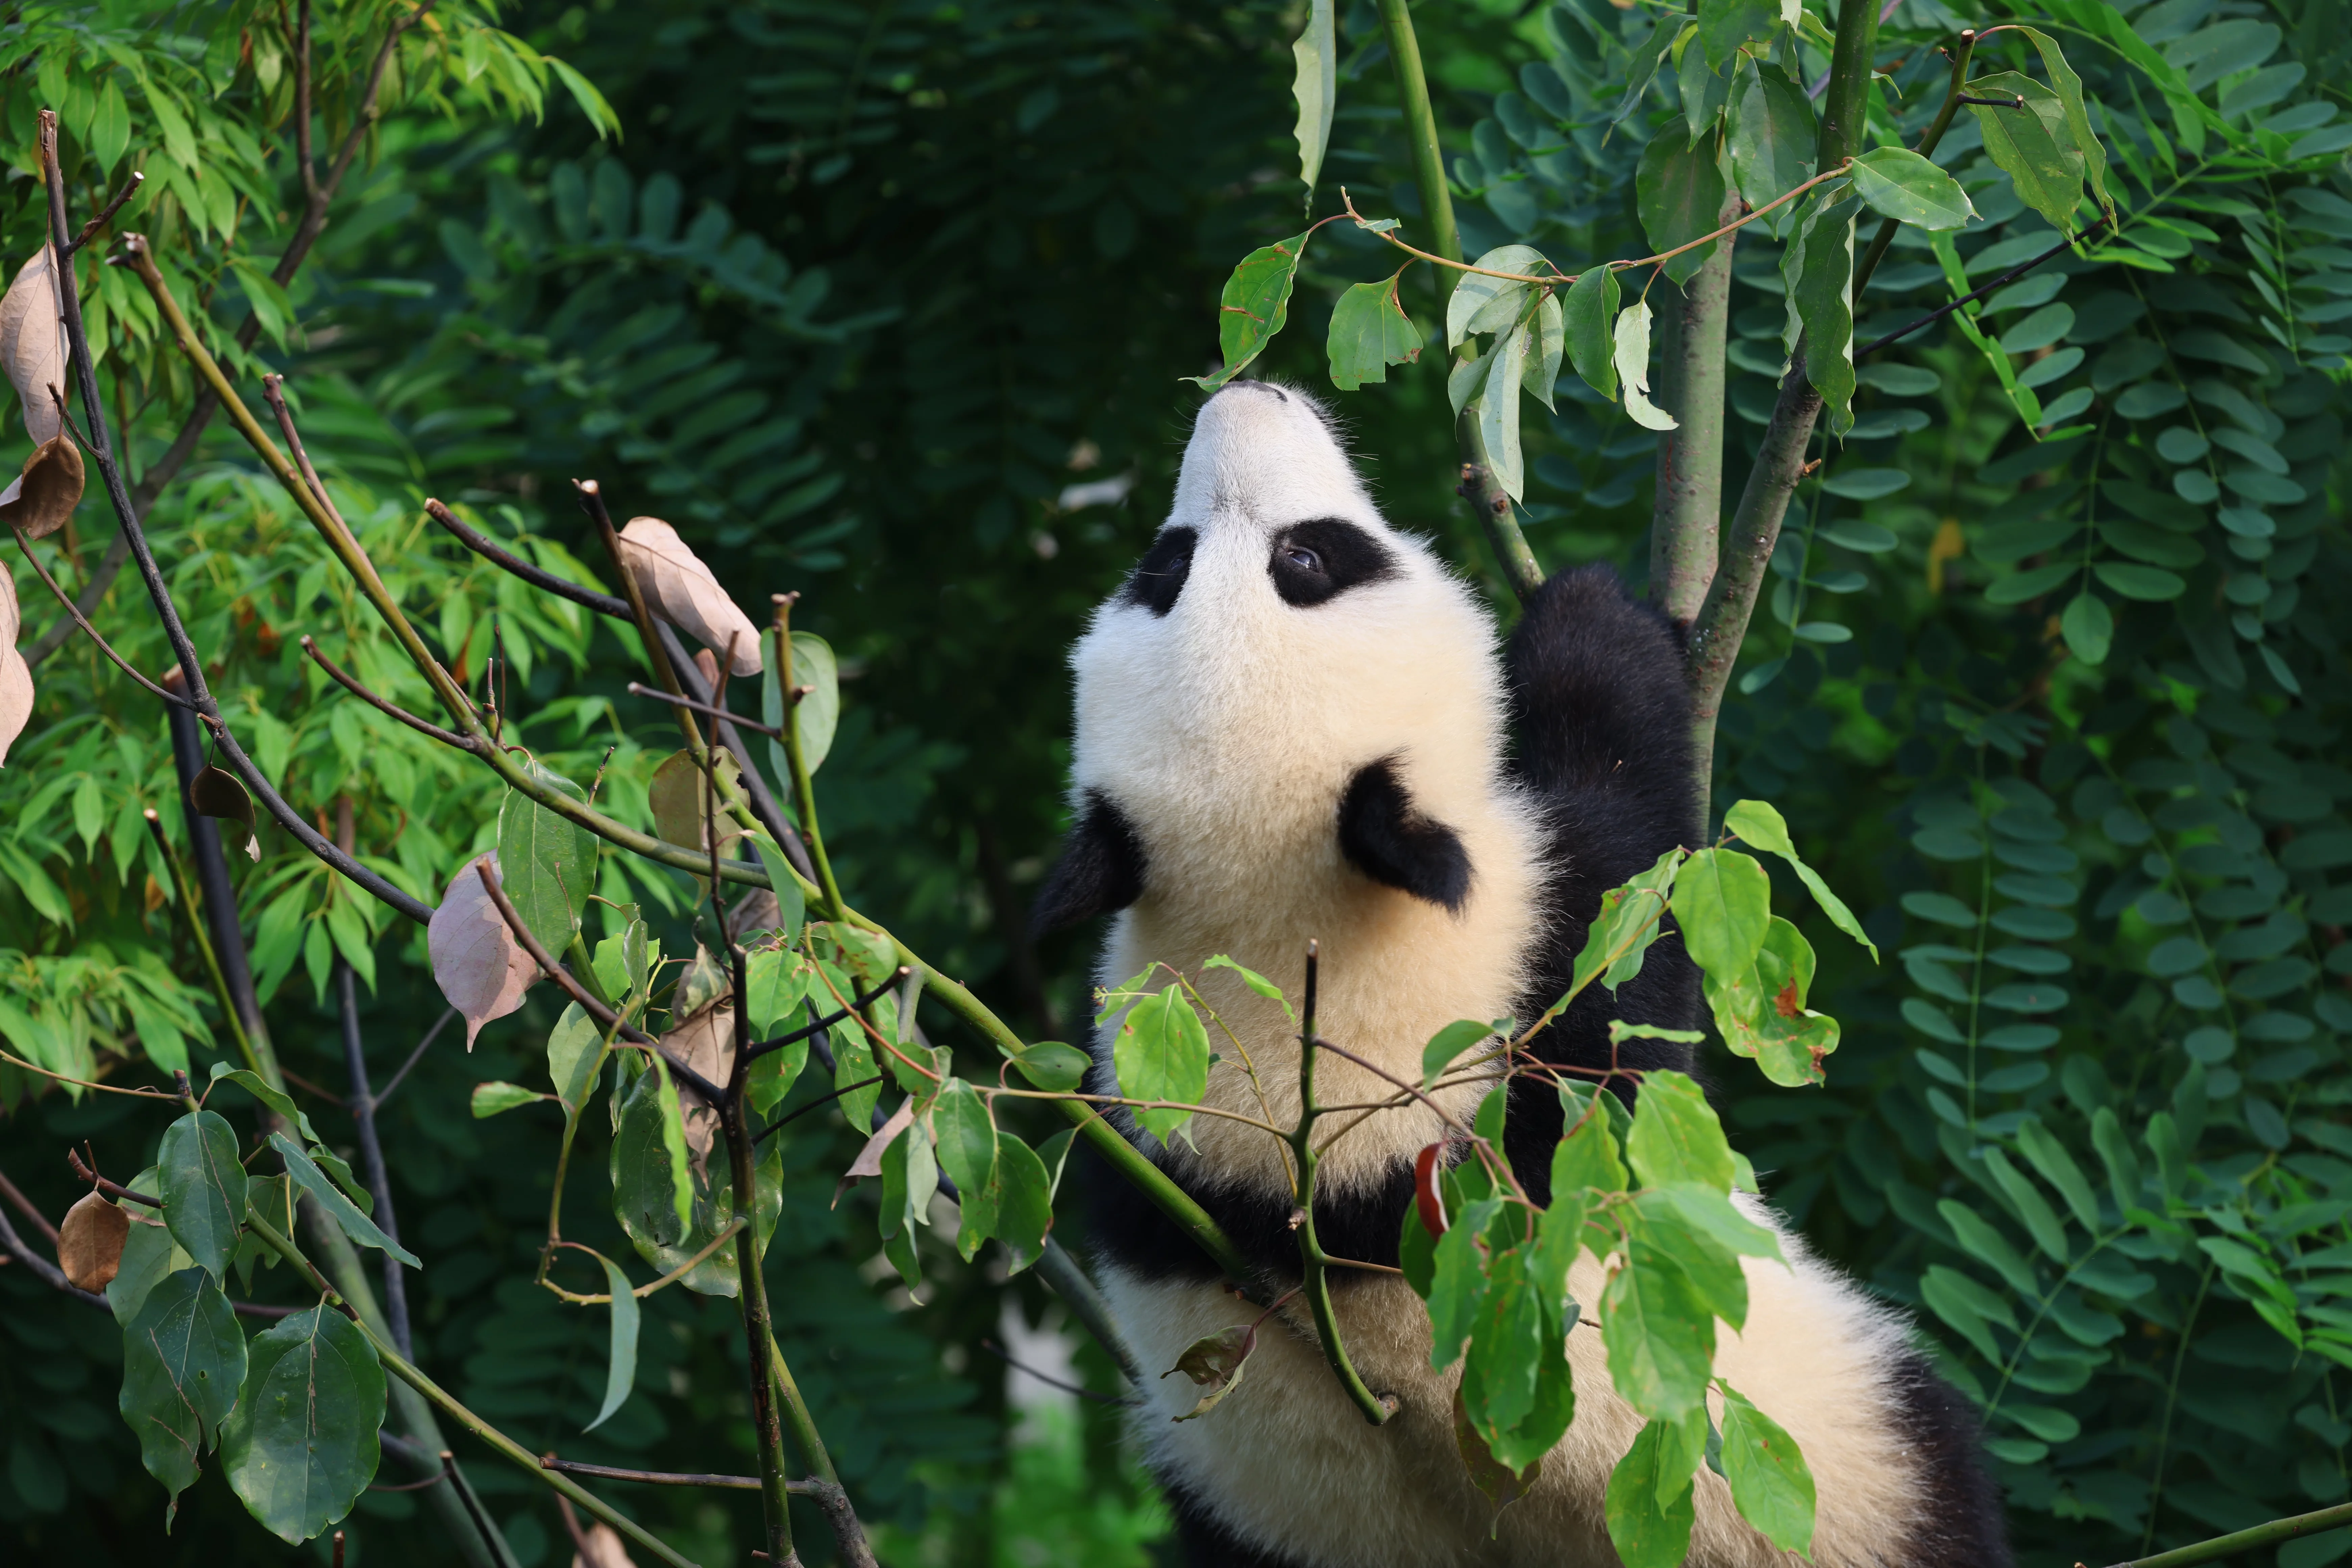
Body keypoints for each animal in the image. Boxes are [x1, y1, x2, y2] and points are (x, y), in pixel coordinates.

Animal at [1031, 379, 2008, 1568]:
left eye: (1163, 568)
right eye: (1310, 561)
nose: (1243, 392)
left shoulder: (1133, 1127)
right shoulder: (1534, 992)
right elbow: (1636, 882)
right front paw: (1594, 609)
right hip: (1842, 1470)